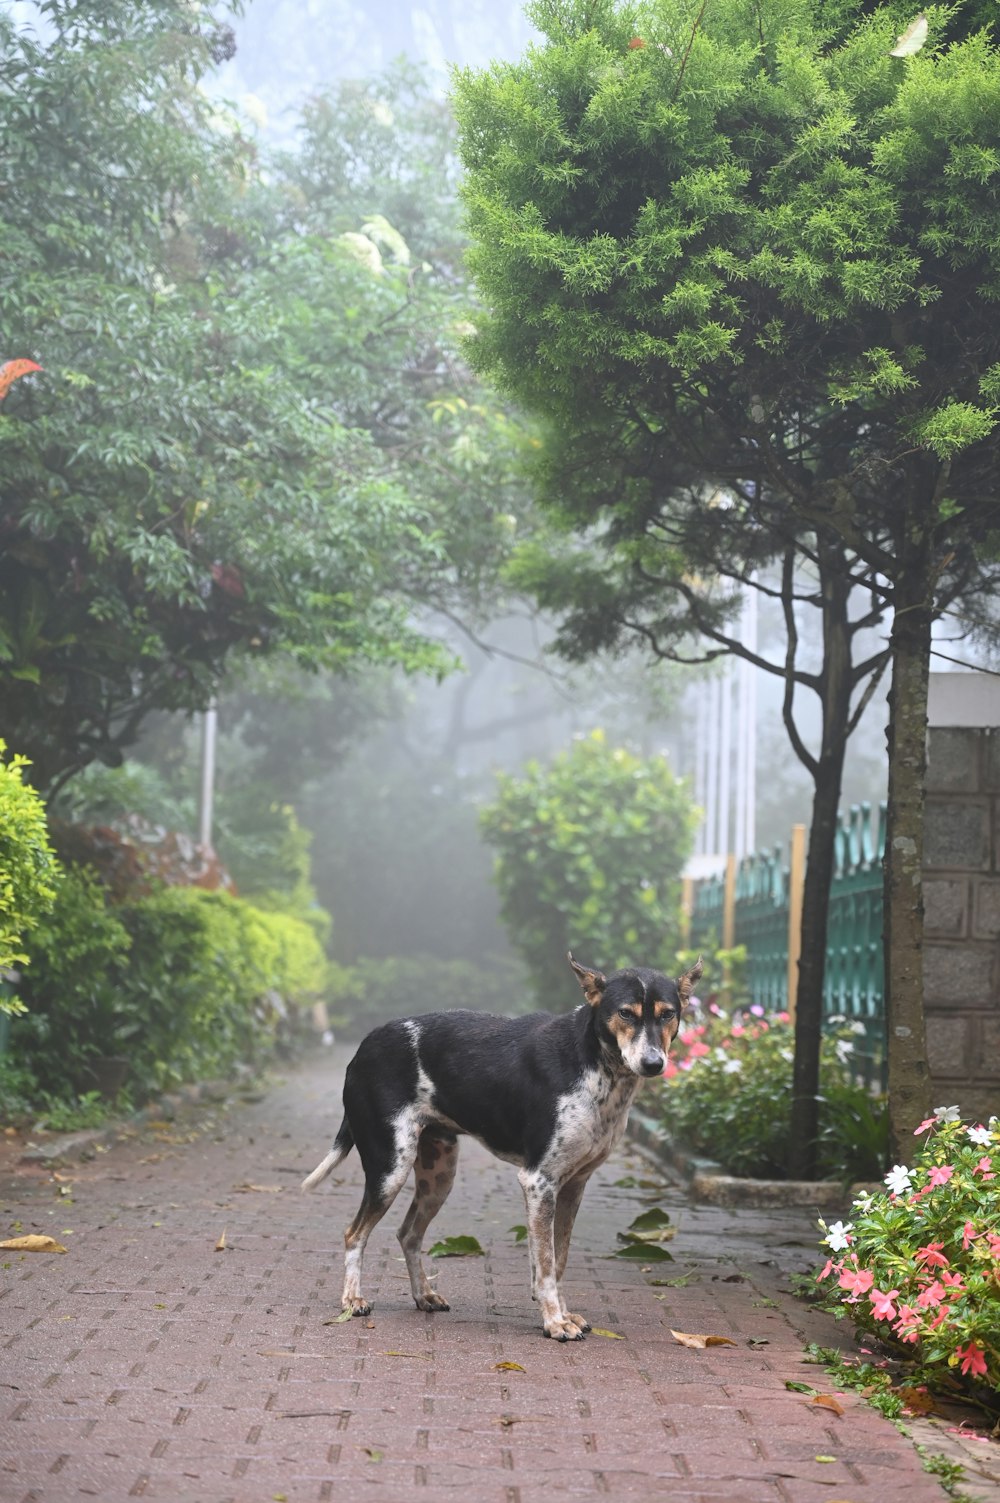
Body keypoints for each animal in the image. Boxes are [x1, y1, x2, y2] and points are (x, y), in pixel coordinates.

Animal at [300, 949, 697, 1340]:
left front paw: (563, 1314)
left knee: (408, 1233)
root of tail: (362, 1049)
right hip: (390, 1169)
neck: (597, 1067)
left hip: (438, 1175)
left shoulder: (572, 1186)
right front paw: (554, 1322)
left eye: (668, 1014)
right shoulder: (538, 1182)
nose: (653, 1063)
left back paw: (424, 1295)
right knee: (354, 1234)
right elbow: (546, 1266)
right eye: (626, 1013)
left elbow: (559, 1260)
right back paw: (352, 1300)